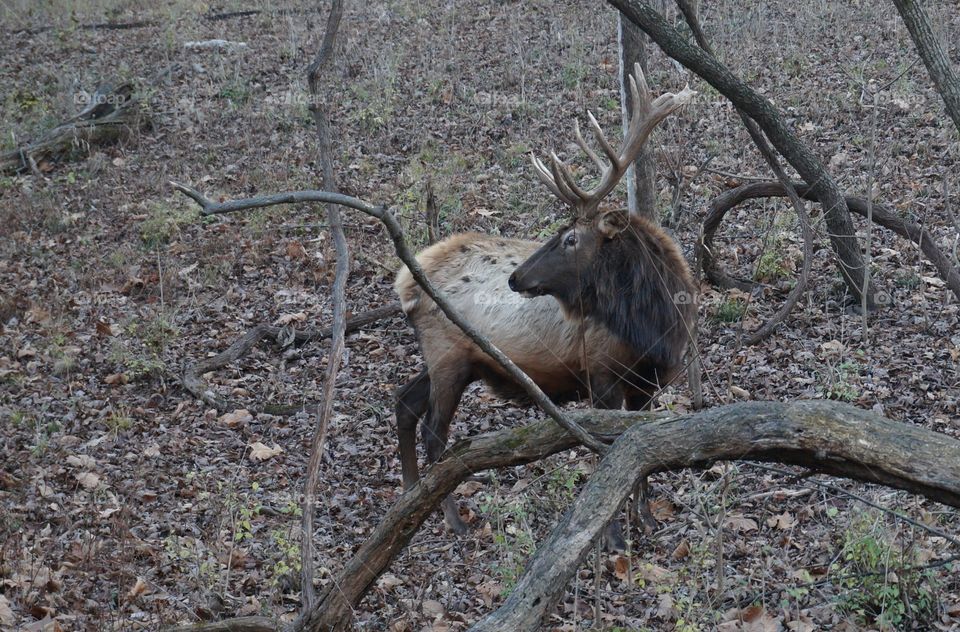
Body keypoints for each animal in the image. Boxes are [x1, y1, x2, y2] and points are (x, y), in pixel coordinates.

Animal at [394, 65, 696, 549]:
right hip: (448, 356)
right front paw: (612, 538)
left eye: (570, 238)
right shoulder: (601, 374)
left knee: (404, 403)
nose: (516, 277)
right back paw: (453, 521)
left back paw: (409, 500)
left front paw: (646, 520)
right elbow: (611, 455)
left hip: (454, 358)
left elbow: (642, 447)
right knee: (434, 432)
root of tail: (404, 282)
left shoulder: (650, 383)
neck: (656, 327)